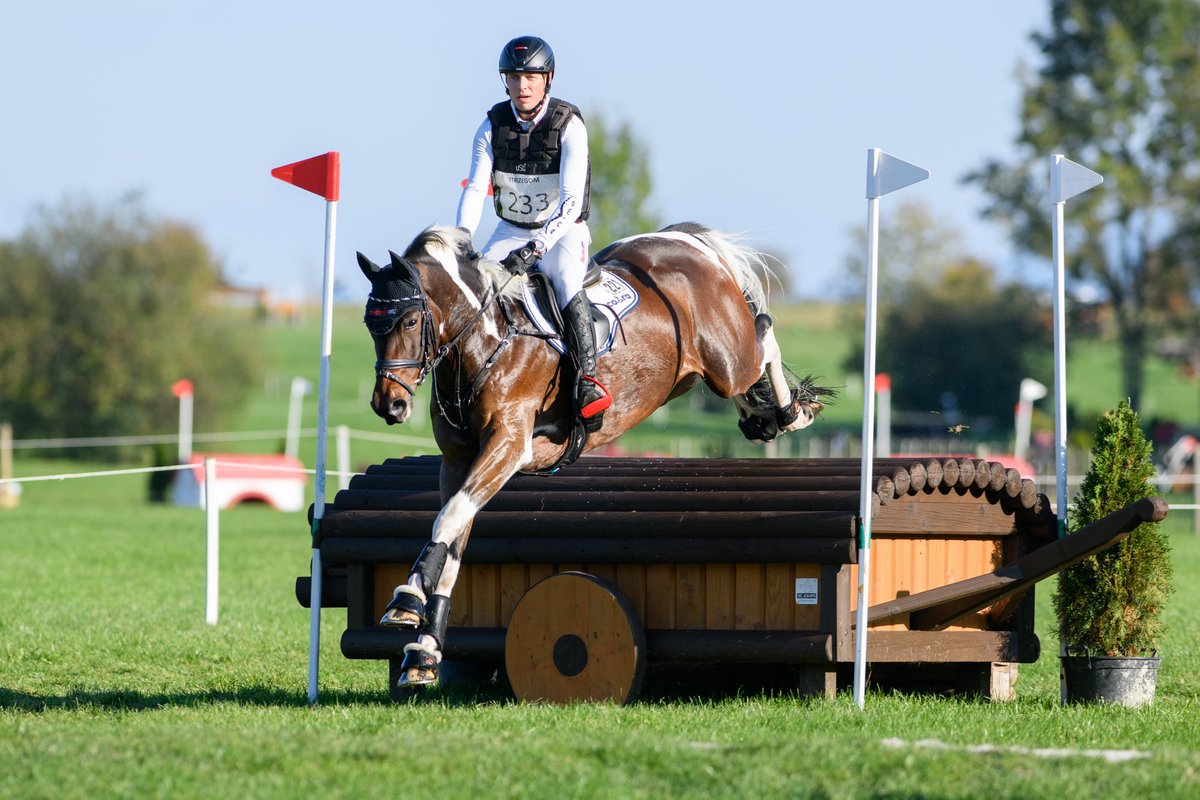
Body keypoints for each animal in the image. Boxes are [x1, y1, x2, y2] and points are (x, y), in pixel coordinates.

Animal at [356, 223, 830, 688]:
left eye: (410, 320)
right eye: (370, 325)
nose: (389, 405)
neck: (482, 343)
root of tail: (686, 238)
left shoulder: (508, 446)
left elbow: (448, 519)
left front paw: (405, 601)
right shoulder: (458, 463)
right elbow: (453, 538)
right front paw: (423, 650)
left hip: (727, 364)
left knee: (763, 336)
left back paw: (791, 411)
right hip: (691, 374)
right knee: (747, 371)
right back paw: (760, 418)